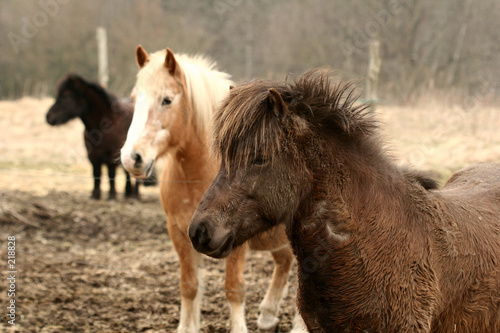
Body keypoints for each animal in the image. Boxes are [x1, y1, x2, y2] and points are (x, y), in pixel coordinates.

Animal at [120, 46, 304, 332]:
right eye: (134, 98)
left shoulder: (234, 239)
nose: (132, 158)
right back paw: (267, 315)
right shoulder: (179, 233)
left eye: (166, 100)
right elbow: (189, 285)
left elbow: (234, 289)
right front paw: (187, 327)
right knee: (284, 261)